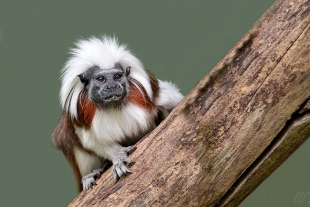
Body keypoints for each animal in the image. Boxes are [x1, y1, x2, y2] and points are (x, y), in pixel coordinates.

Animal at [52, 35, 184, 191]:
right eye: (101, 79)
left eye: (117, 77)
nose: (112, 87)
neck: (113, 105)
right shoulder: (79, 115)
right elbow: (92, 141)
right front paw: (118, 157)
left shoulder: (150, 94)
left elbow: (173, 100)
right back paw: (94, 173)